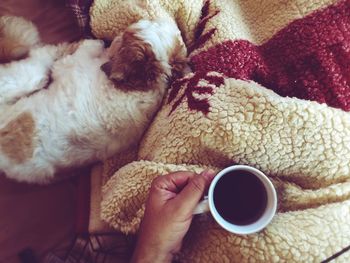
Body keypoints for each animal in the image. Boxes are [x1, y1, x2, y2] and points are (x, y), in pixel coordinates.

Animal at [0, 15, 189, 185]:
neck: (136, 88)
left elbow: (76, 53)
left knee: (38, 62)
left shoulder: (69, 65)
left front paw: (92, 44)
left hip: (24, 76)